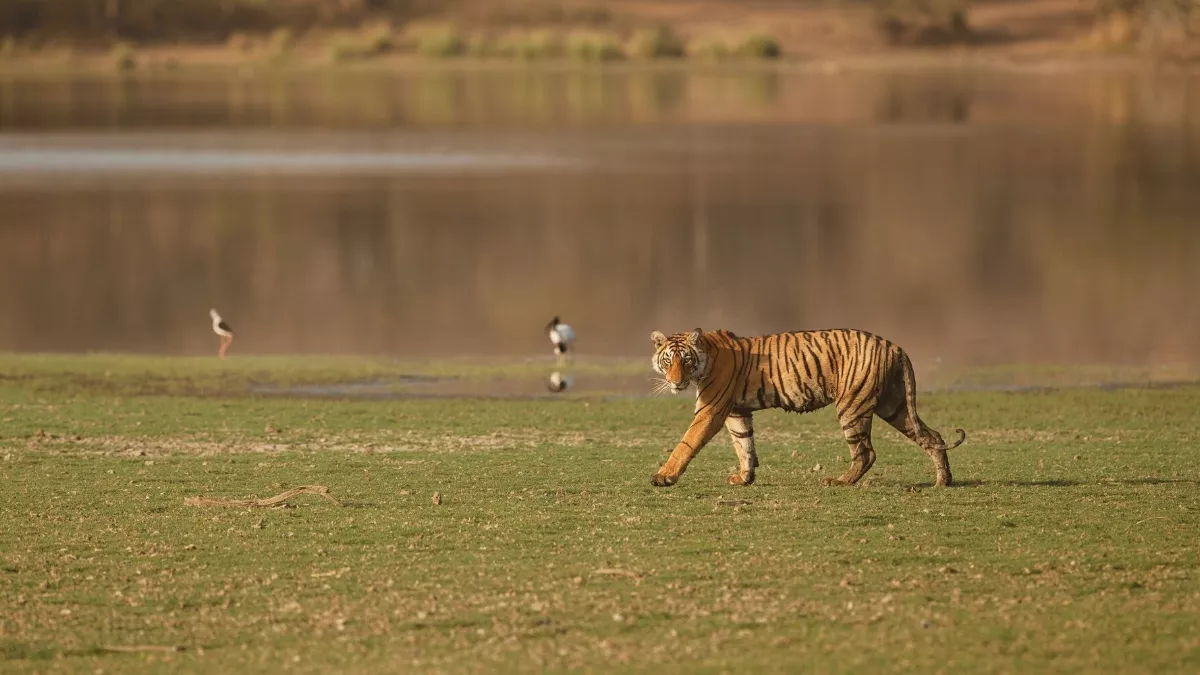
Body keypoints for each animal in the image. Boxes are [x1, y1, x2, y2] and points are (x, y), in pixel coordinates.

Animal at [648, 329, 964, 485]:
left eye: (685, 360)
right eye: (668, 360)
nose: (676, 381)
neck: (707, 358)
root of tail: (893, 345)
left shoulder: (710, 410)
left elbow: (686, 443)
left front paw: (664, 476)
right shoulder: (737, 412)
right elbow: (744, 444)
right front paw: (744, 478)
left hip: (852, 406)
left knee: (866, 453)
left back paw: (840, 481)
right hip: (894, 405)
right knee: (932, 436)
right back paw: (943, 481)